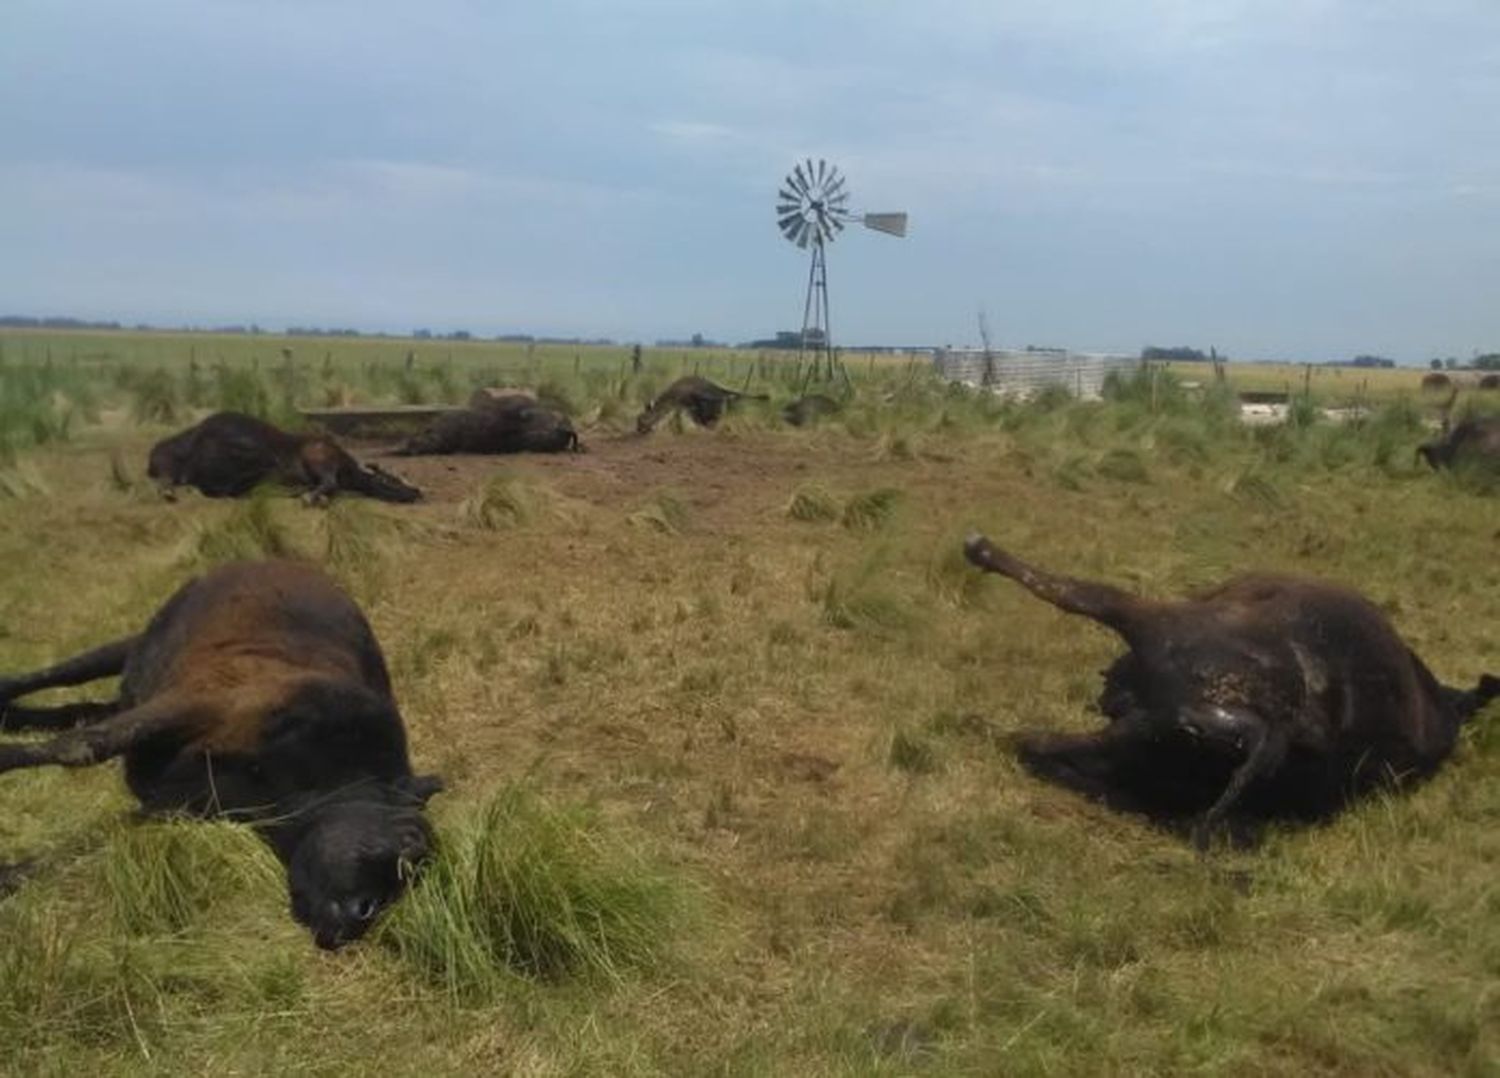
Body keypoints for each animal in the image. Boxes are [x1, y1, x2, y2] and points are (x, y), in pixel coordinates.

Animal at [0, 560, 441, 947]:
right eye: (407, 842)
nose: (362, 913)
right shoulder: (204, 702)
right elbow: (82, 747)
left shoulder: (174, 804)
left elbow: (85, 847)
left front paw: (8, 875)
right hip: (134, 645)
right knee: (60, 677)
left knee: (79, 709)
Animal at [636, 374, 768, 434]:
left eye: (641, 418)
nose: (639, 429)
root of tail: (717, 387)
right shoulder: (683, 407)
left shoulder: (687, 405)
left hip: (712, 406)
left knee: (713, 419)